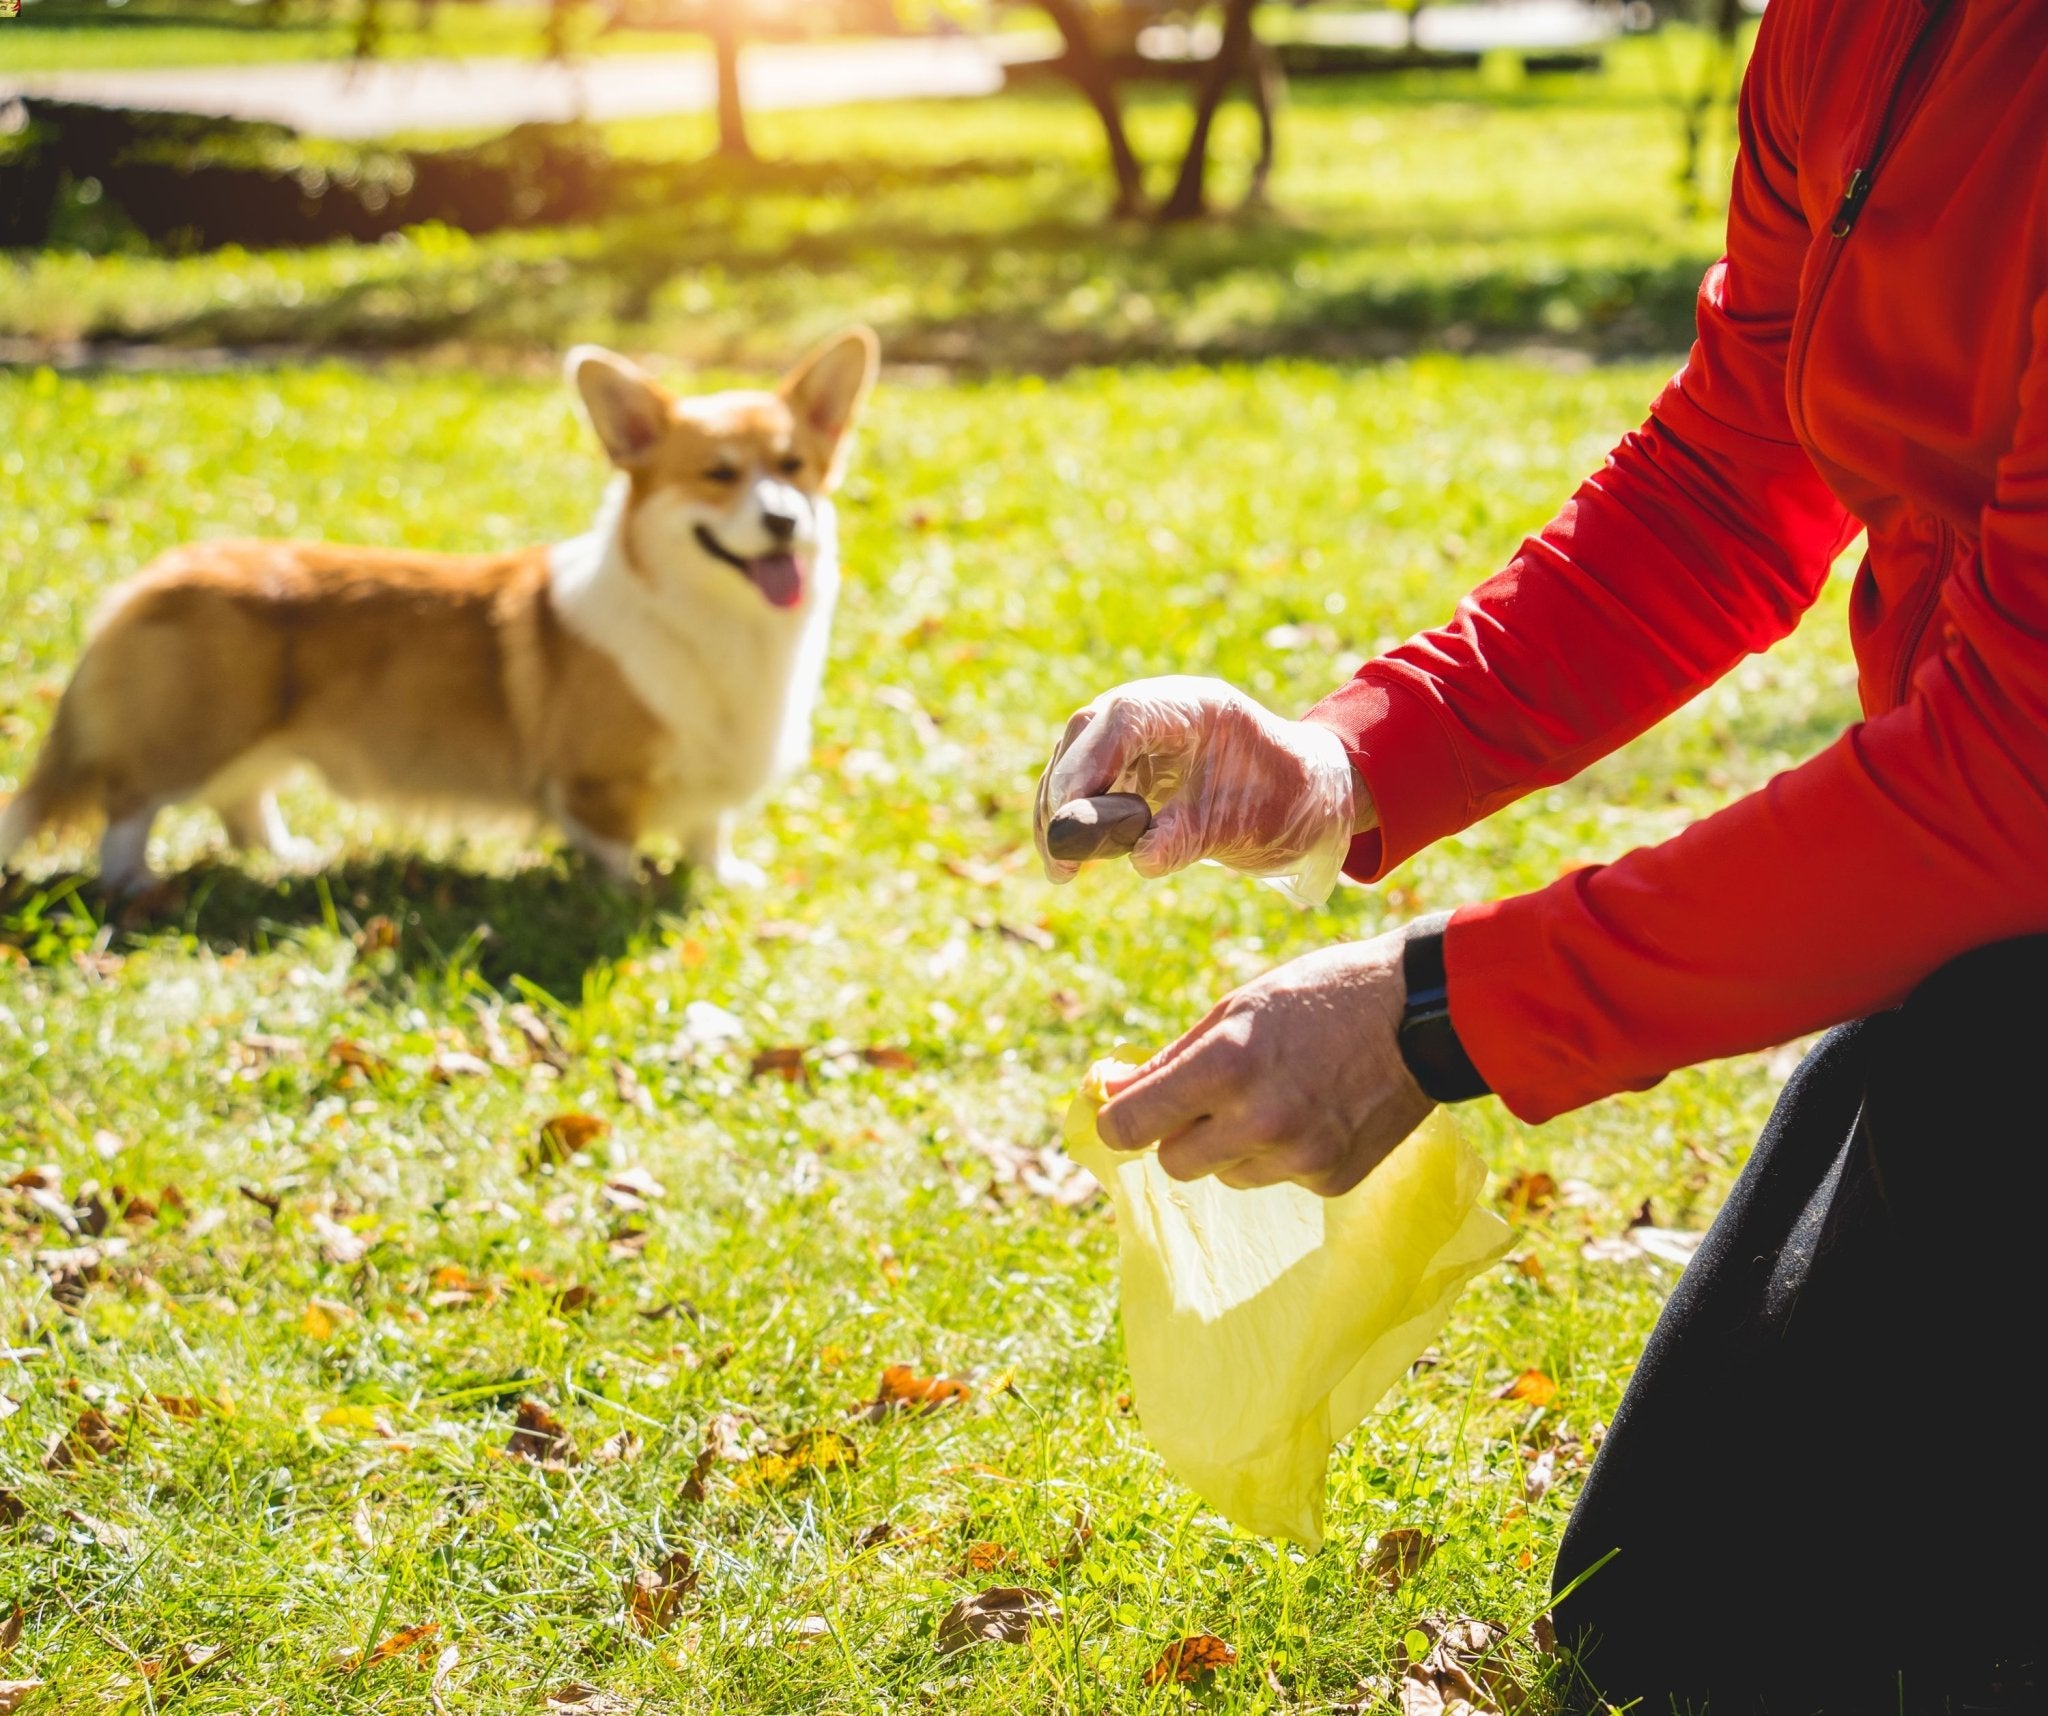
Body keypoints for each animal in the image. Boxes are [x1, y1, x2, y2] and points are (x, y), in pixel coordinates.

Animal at [0, 325, 872, 901]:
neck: (713, 620)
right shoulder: (596, 786)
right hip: (196, 731)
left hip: (265, 734)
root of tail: (153, 574)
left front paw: (726, 877)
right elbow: (616, 851)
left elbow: (707, 830)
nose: (784, 520)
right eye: (718, 475)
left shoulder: (714, 780)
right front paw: (621, 898)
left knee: (242, 801)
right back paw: (132, 883)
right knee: (129, 801)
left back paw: (288, 857)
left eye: (794, 466)